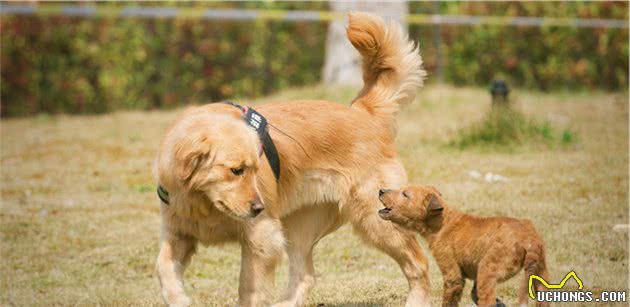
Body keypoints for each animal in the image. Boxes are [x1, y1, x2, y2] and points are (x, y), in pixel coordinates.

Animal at [156, 12, 432, 307]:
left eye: (255, 169)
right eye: (236, 170)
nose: (259, 207)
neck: (203, 202)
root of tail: (362, 111)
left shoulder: (262, 235)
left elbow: (249, 289)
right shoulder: (178, 233)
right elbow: (162, 267)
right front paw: (179, 297)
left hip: (375, 218)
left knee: (418, 261)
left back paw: (418, 300)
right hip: (298, 226)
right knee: (306, 273)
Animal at [378, 186, 552, 306]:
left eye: (405, 194)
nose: (380, 190)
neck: (442, 223)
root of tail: (528, 239)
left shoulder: (453, 276)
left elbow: (449, 302)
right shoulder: (474, 274)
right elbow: (474, 294)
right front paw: (500, 303)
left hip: (487, 270)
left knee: (487, 300)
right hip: (541, 275)